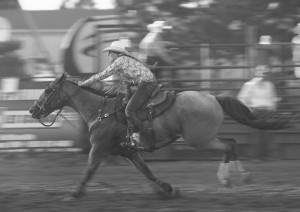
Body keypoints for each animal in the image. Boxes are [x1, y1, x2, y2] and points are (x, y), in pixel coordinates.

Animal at [29, 72, 292, 199]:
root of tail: (213, 98)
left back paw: (226, 179)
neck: (101, 110)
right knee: (234, 144)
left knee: (229, 146)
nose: (32, 110)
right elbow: (147, 171)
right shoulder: (127, 151)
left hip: (200, 140)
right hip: (204, 139)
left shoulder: (99, 149)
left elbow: (88, 171)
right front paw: (168, 190)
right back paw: (243, 177)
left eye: (48, 89)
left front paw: (73, 195)